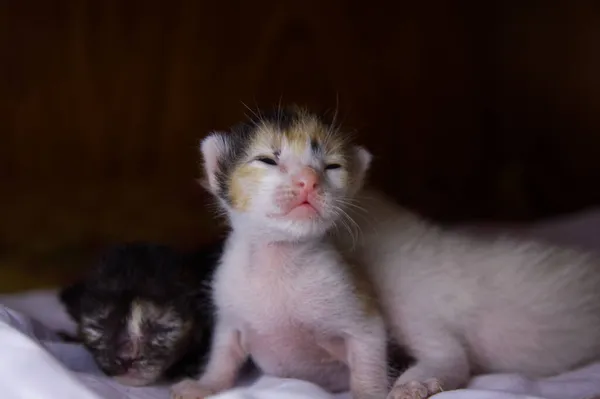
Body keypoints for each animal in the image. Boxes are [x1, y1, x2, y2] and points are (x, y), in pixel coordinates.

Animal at [171, 105, 392, 399]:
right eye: (266, 160)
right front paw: (206, 385)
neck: (279, 255)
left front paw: (368, 393)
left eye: (332, 166)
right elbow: (223, 354)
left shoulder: (358, 307)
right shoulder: (230, 314)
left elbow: (369, 356)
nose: (308, 180)